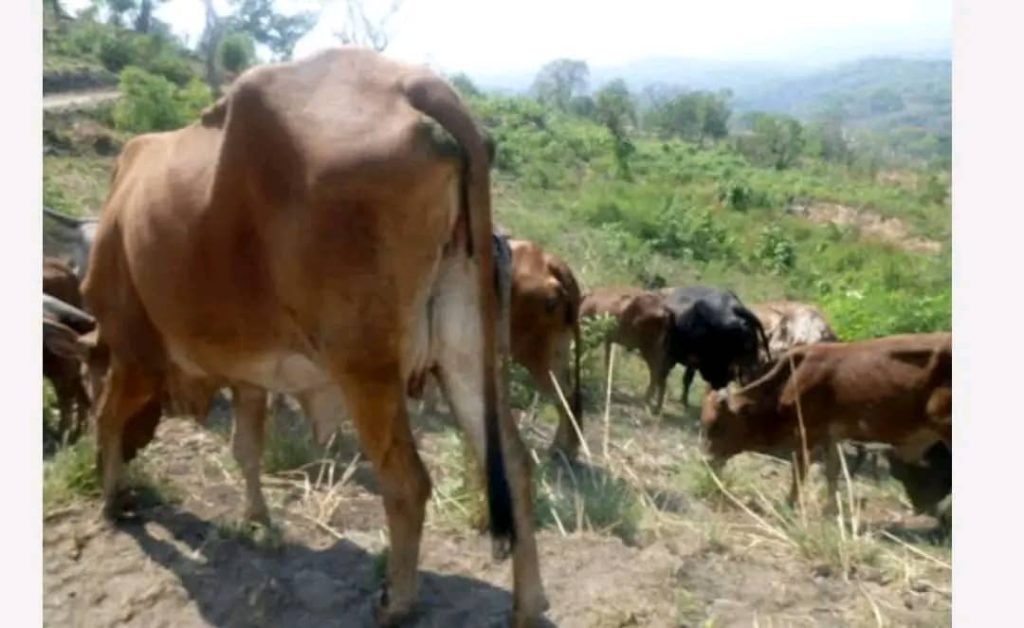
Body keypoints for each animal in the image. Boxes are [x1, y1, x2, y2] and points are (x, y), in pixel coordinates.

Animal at [81, 48, 546, 625]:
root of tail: (413, 83)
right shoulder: (249, 375)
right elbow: (246, 449)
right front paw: (257, 521)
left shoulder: (132, 351)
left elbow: (108, 419)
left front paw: (111, 498)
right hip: (465, 353)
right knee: (516, 467)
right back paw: (527, 604)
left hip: (364, 368)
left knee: (408, 484)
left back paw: (396, 601)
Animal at [700, 332, 952, 514]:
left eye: (717, 425)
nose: (706, 460)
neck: (792, 379)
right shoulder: (832, 436)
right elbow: (832, 473)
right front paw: (830, 511)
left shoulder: (805, 434)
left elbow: (799, 472)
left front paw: (789, 506)